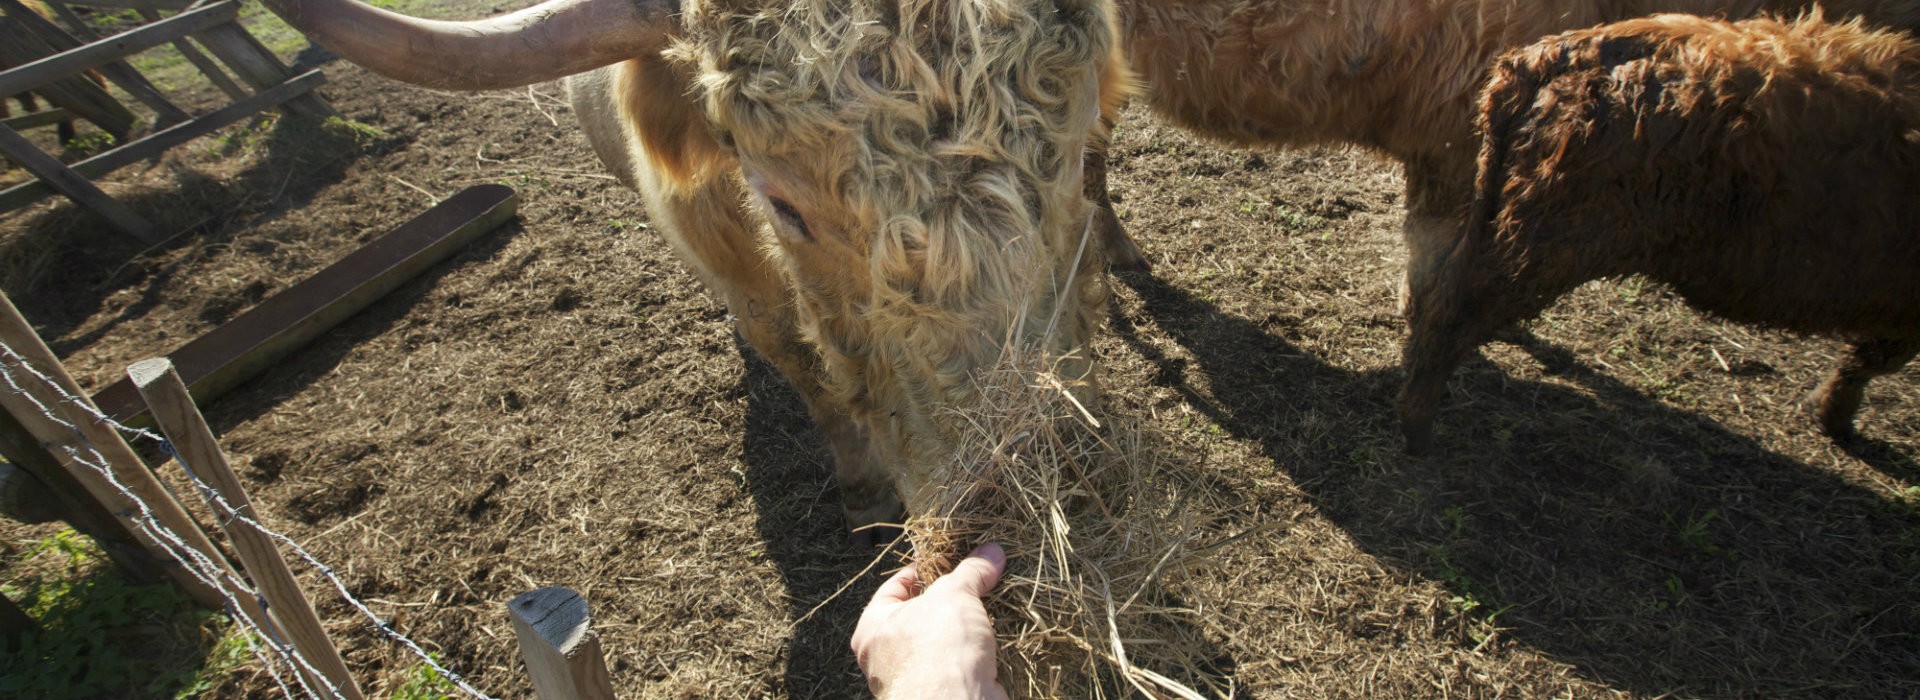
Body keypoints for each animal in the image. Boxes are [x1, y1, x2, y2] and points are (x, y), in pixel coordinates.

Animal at [251, 0, 1121, 540]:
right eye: (783, 204)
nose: (1022, 488)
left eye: (1078, 147)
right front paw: (865, 495)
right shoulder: (747, 288)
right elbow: (802, 365)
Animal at [1397, 13, 1920, 454]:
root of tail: (1552, 55)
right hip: (1546, 242)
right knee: (1450, 315)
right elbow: (1872, 358)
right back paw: (1419, 432)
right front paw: (1834, 420)